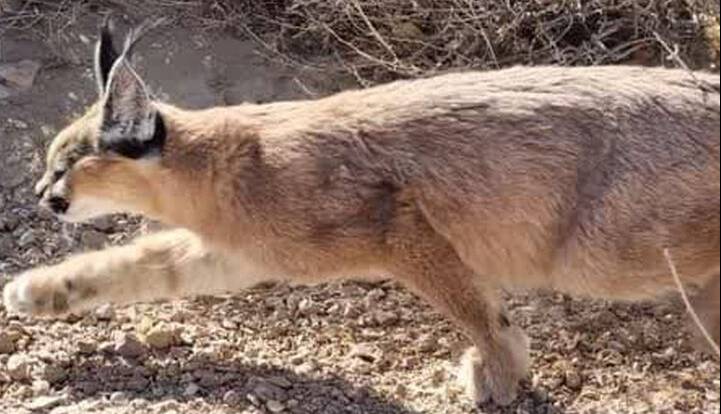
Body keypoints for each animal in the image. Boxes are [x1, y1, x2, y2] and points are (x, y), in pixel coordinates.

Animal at [2, 21, 716, 404]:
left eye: (64, 164)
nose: (38, 192)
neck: (212, 167)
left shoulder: (396, 222)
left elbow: (472, 304)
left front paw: (501, 366)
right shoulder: (233, 250)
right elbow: (140, 263)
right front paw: (38, 291)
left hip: (609, 249)